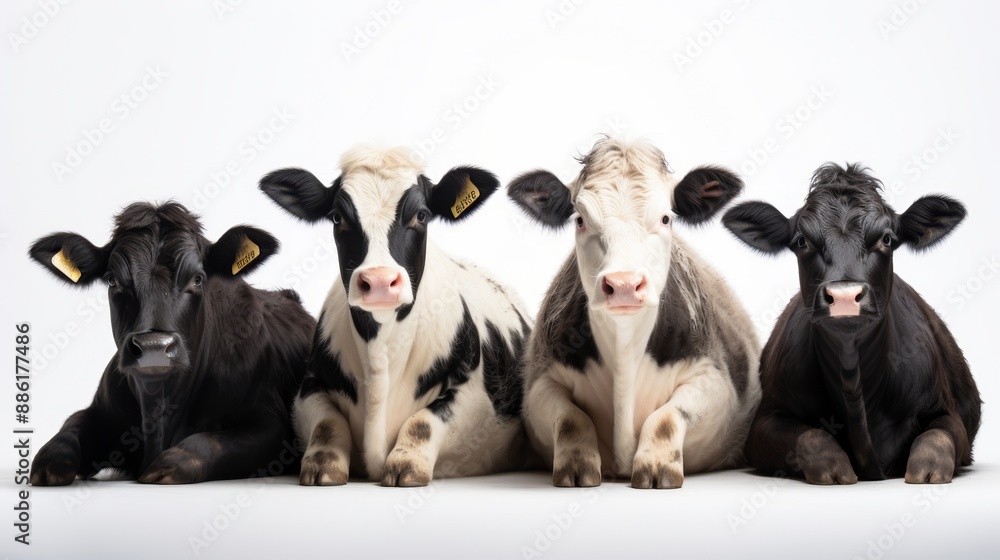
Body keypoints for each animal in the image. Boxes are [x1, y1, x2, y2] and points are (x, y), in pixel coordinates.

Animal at [27, 202, 314, 485]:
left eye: (197, 278)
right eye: (112, 280)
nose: (153, 346)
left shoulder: (271, 422)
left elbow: (201, 447)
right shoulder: (98, 412)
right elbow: (56, 446)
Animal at [259, 145, 533, 487]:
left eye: (422, 215)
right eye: (337, 217)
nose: (379, 281)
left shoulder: (476, 396)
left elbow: (423, 421)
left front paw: (407, 464)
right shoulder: (309, 385)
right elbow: (328, 422)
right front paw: (322, 464)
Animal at [507, 137, 761, 488]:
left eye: (666, 218)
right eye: (580, 220)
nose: (624, 284)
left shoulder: (716, 379)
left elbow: (665, 418)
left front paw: (657, 467)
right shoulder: (540, 382)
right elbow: (573, 418)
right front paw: (576, 467)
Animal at [722, 163, 982, 484]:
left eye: (886, 238)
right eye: (801, 240)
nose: (844, 296)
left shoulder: (946, 410)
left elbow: (937, 438)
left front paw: (927, 471)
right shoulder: (764, 422)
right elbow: (813, 437)